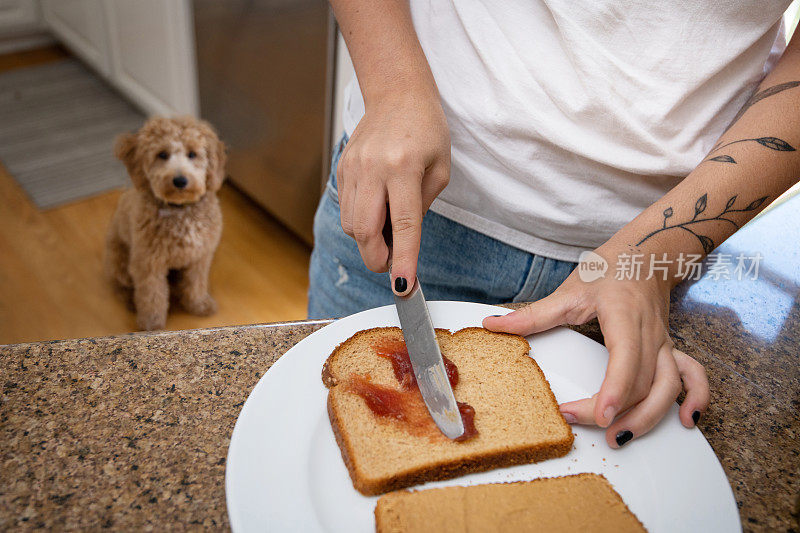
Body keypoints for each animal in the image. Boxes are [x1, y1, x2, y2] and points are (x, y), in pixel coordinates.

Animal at [104, 117, 227, 328]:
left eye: (192, 154)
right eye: (162, 154)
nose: (180, 180)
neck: (180, 211)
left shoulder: (200, 257)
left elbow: (196, 284)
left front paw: (199, 305)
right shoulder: (148, 263)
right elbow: (152, 296)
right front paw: (151, 324)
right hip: (119, 260)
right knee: (123, 286)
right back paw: (131, 302)